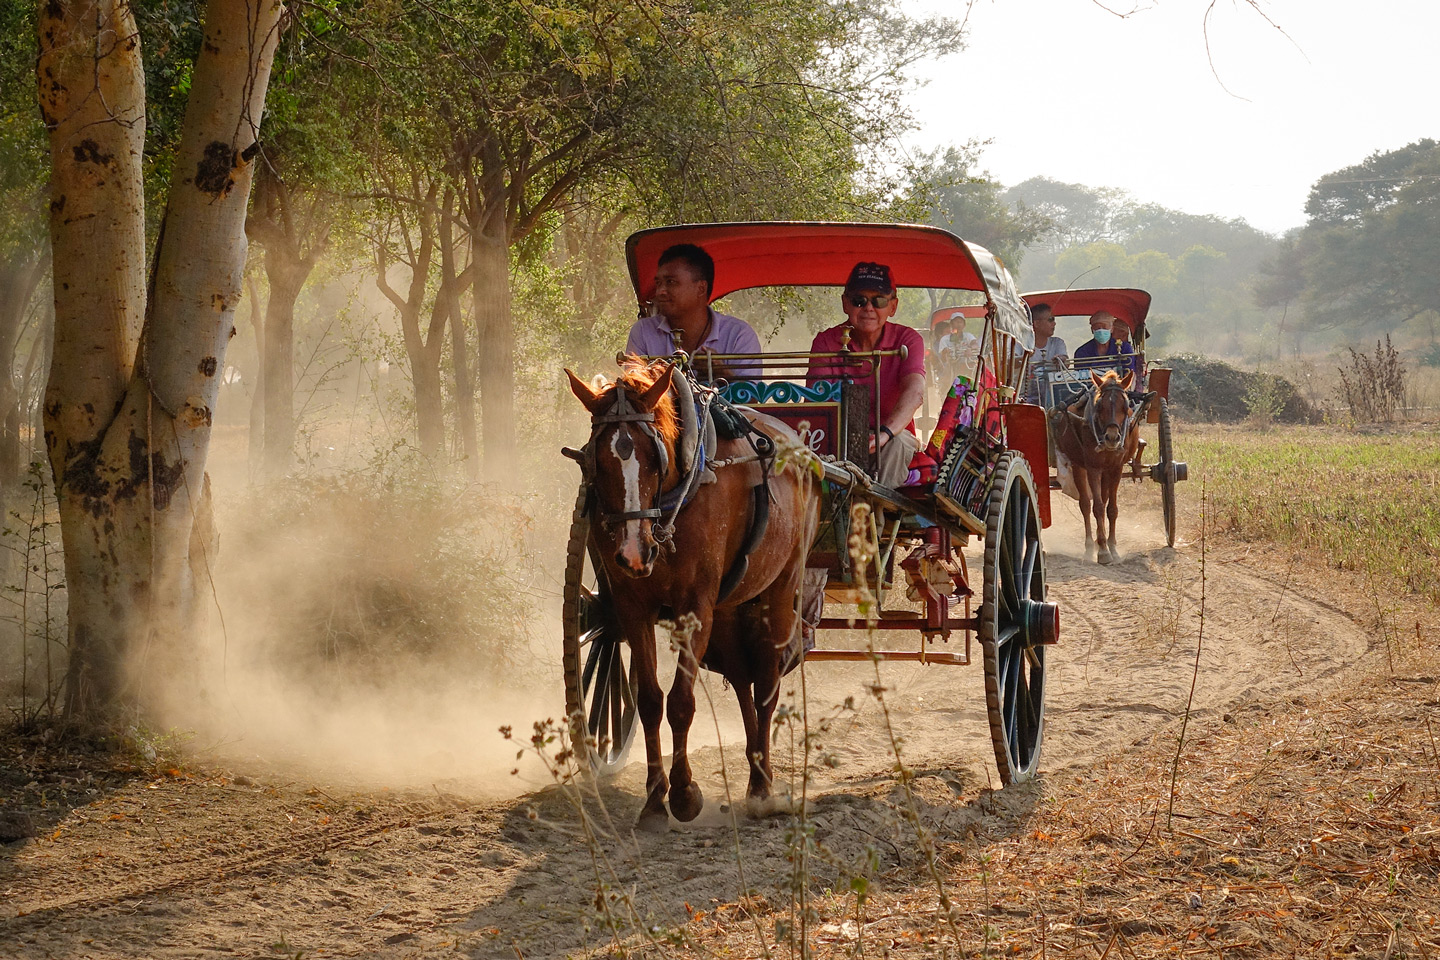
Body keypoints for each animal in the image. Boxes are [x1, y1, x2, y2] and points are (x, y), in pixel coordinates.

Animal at [567, 364, 829, 829]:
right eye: (598, 459)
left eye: (653, 456)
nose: (634, 552)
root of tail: (804, 454)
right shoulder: (632, 608)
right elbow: (651, 700)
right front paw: (655, 799)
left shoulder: (695, 607)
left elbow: (681, 702)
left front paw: (685, 794)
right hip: (730, 611)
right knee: (743, 680)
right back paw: (754, 767)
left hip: (781, 589)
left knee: (766, 683)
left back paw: (762, 788)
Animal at [1054, 368, 1152, 564]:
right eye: (1099, 406)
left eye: (1125, 405)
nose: (1112, 438)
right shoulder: (1092, 468)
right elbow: (1097, 507)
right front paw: (1103, 551)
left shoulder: (1115, 469)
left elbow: (1111, 509)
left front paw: (1112, 547)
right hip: (1078, 465)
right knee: (1085, 504)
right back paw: (1090, 546)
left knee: (1104, 499)